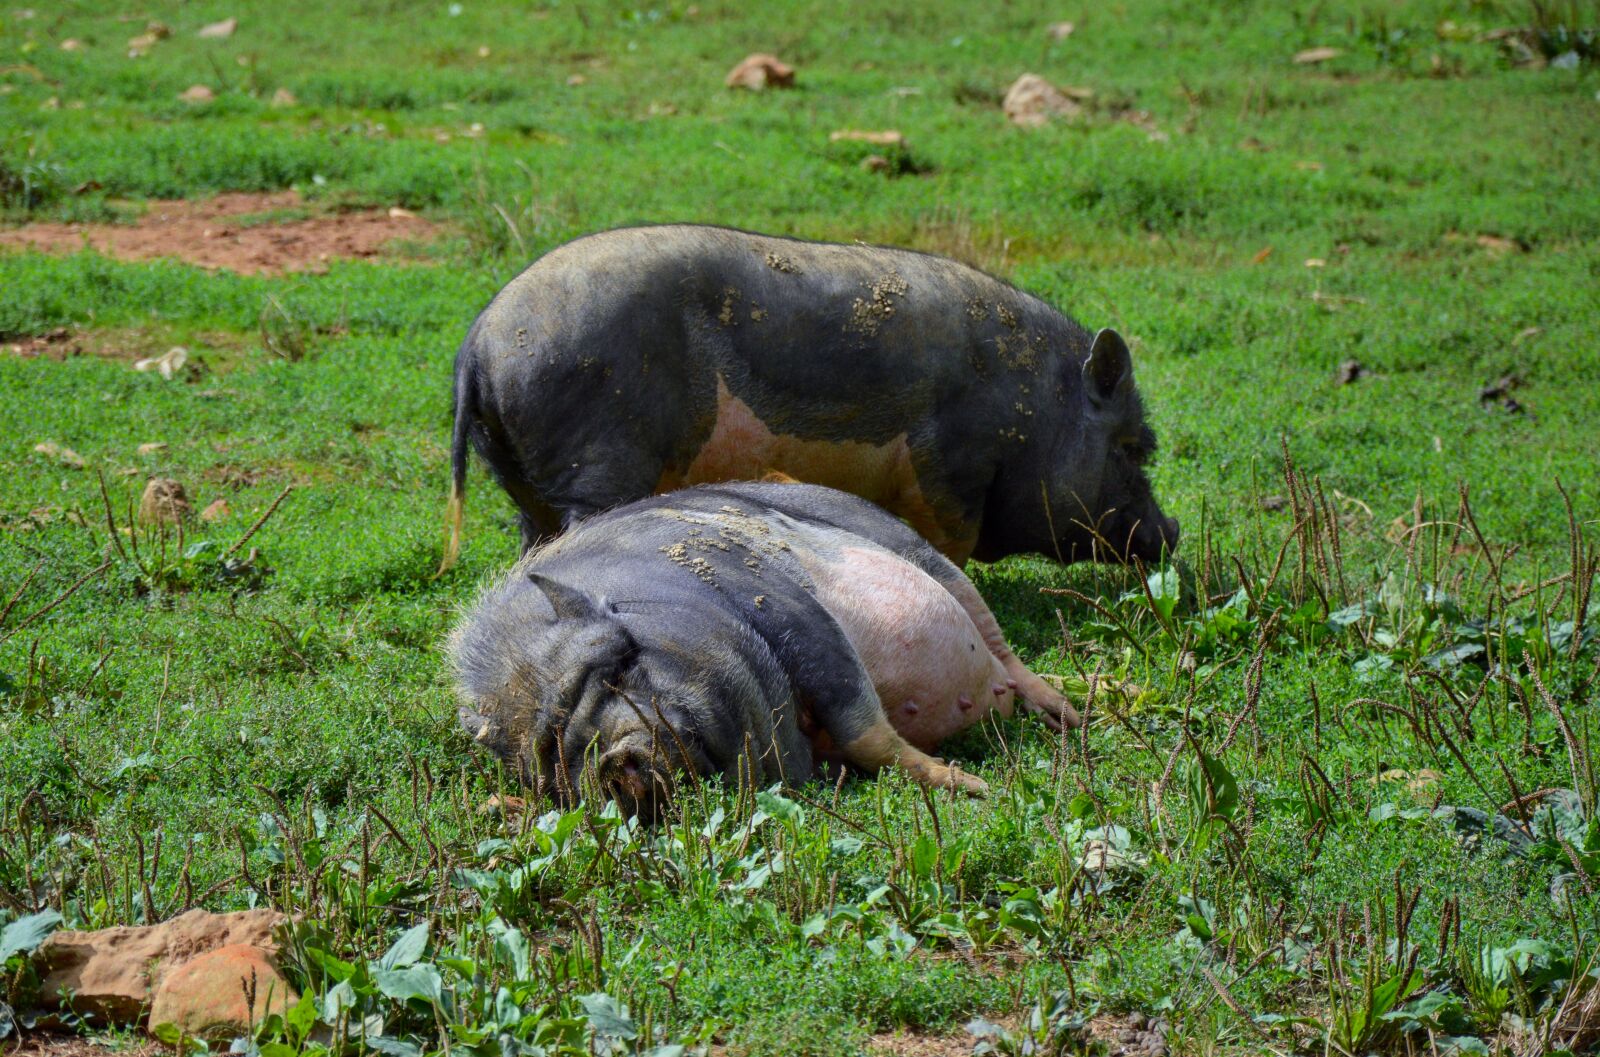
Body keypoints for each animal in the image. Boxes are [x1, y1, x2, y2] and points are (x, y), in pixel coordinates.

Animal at [439, 224, 1177, 571]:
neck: (1037, 408)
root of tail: (480, 343)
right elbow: (949, 545)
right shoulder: (952, 468)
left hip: (521, 479)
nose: (1172, 532)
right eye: (1136, 447)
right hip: (601, 457)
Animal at [450, 481, 1084, 818]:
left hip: (926, 557)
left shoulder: (787, 610)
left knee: (1002, 647)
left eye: (619, 667)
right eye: (556, 754)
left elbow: (864, 727)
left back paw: (1073, 715)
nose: (613, 760)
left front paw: (977, 788)